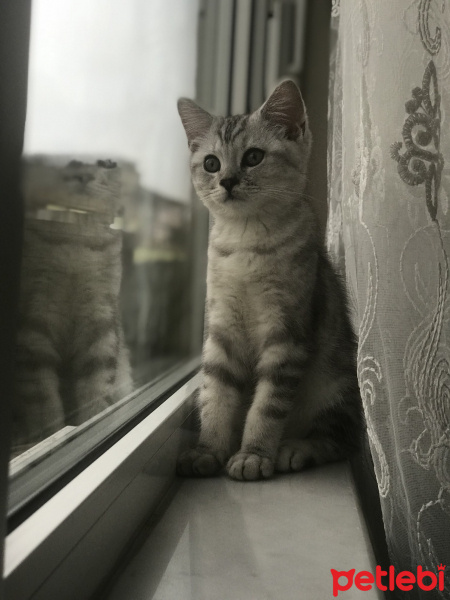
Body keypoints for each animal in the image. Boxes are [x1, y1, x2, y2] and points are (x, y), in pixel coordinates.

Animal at [12, 157, 134, 452]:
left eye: (108, 162)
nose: (82, 173)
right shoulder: (33, 325)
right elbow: (42, 397)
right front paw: (49, 436)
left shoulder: (100, 318)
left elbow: (97, 384)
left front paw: (97, 420)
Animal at [176, 81, 362, 482]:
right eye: (211, 163)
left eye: (253, 157)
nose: (228, 181)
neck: (245, 242)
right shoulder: (221, 327)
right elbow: (215, 393)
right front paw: (208, 449)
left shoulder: (287, 334)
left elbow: (267, 406)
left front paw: (253, 454)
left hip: (334, 385)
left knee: (338, 438)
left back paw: (295, 449)